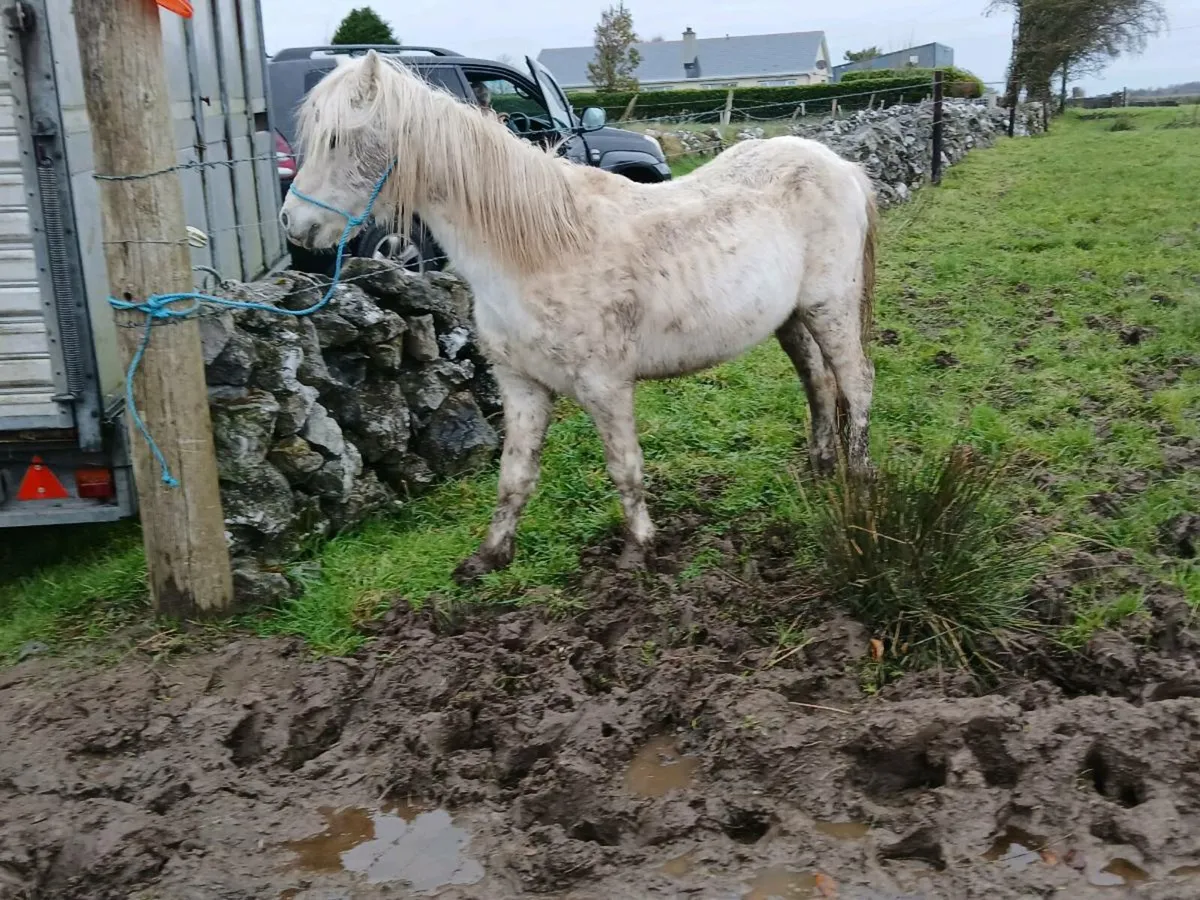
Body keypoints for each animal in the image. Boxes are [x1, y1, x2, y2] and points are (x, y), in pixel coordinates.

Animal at [278, 50, 878, 585]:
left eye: (337, 139)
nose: (294, 224)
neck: (539, 248)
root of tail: (840, 165)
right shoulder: (521, 385)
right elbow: (514, 475)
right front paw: (488, 557)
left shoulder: (605, 386)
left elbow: (624, 466)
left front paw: (638, 550)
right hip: (789, 317)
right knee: (818, 383)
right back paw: (820, 467)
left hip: (830, 306)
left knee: (856, 383)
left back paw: (858, 479)